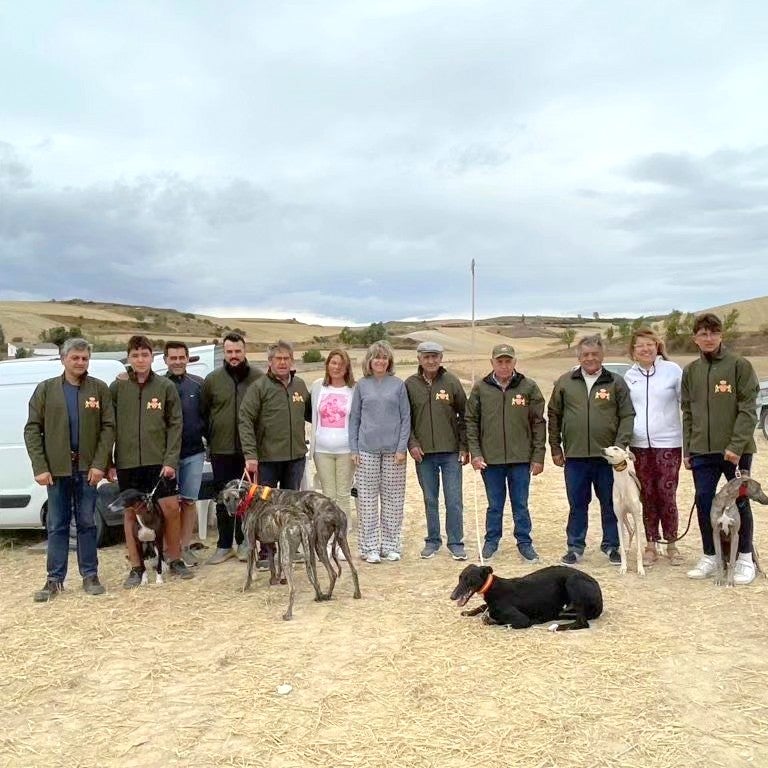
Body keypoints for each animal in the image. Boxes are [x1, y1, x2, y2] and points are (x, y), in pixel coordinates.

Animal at [450, 564, 608, 632]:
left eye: (469, 579)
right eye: (459, 577)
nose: (452, 596)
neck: (492, 588)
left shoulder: (521, 620)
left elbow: (497, 621)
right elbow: (483, 607)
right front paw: (469, 612)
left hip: (573, 581)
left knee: (582, 622)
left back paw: (558, 627)